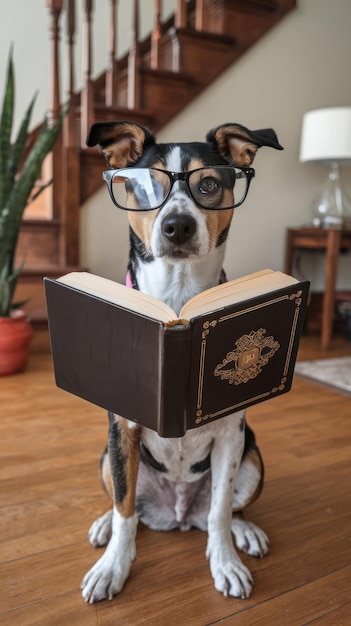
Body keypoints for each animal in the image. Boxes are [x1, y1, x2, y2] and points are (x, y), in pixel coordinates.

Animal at [82, 119, 284, 604]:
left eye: (208, 184)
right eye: (145, 185)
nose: (177, 226)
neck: (177, 297)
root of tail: (175, 513)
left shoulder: (231, 435)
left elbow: (220, 513)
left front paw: (225, 562)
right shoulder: (123, 430)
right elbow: (124, 511)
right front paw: (113, 567)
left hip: (253, 459)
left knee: (223, 510)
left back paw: (245, 533)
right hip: (107, 458)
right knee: (126, 505)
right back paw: (105, 526)